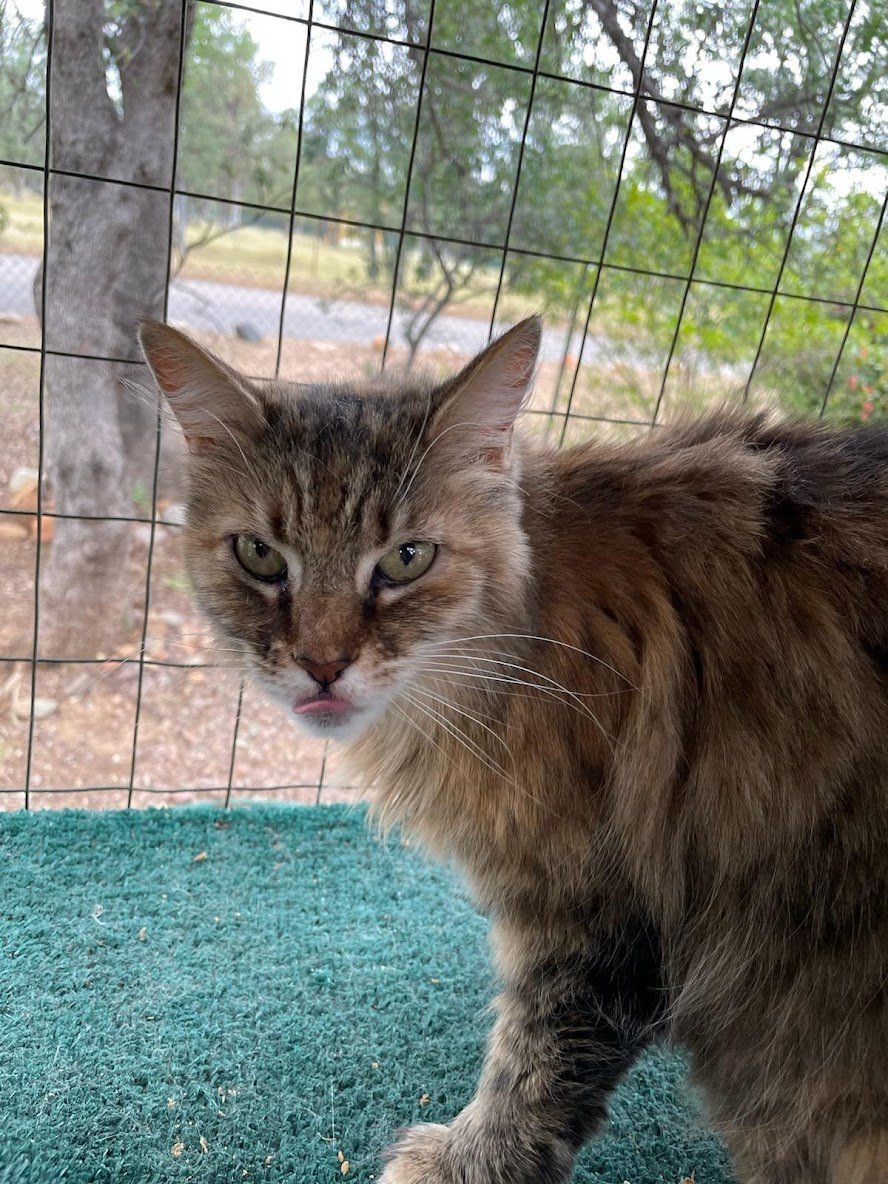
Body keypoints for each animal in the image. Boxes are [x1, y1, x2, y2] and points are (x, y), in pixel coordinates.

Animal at [140, 317, 888, 1184]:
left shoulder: (592, 909)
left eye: (406, 559)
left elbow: (534, 1067)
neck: (534, 627)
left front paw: (463, 1163)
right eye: (260, 556)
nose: (323, 664)